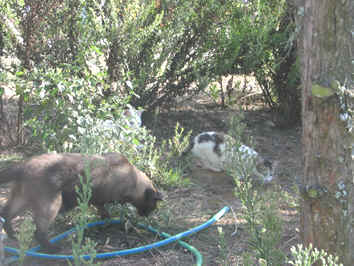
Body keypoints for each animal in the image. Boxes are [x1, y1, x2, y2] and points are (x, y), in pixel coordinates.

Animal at [0, 152, 162, 251]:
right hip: (52, 205)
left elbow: (105, 215)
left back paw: (13, 235)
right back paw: (53, 249)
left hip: (22, 199)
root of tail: (24, 164)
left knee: (6, 213)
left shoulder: (97, 201)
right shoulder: (98, 199)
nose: (146, 216)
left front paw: (105, 225)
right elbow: (105, 212)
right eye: (153, 206)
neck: (132, 179)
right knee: (38, 231)